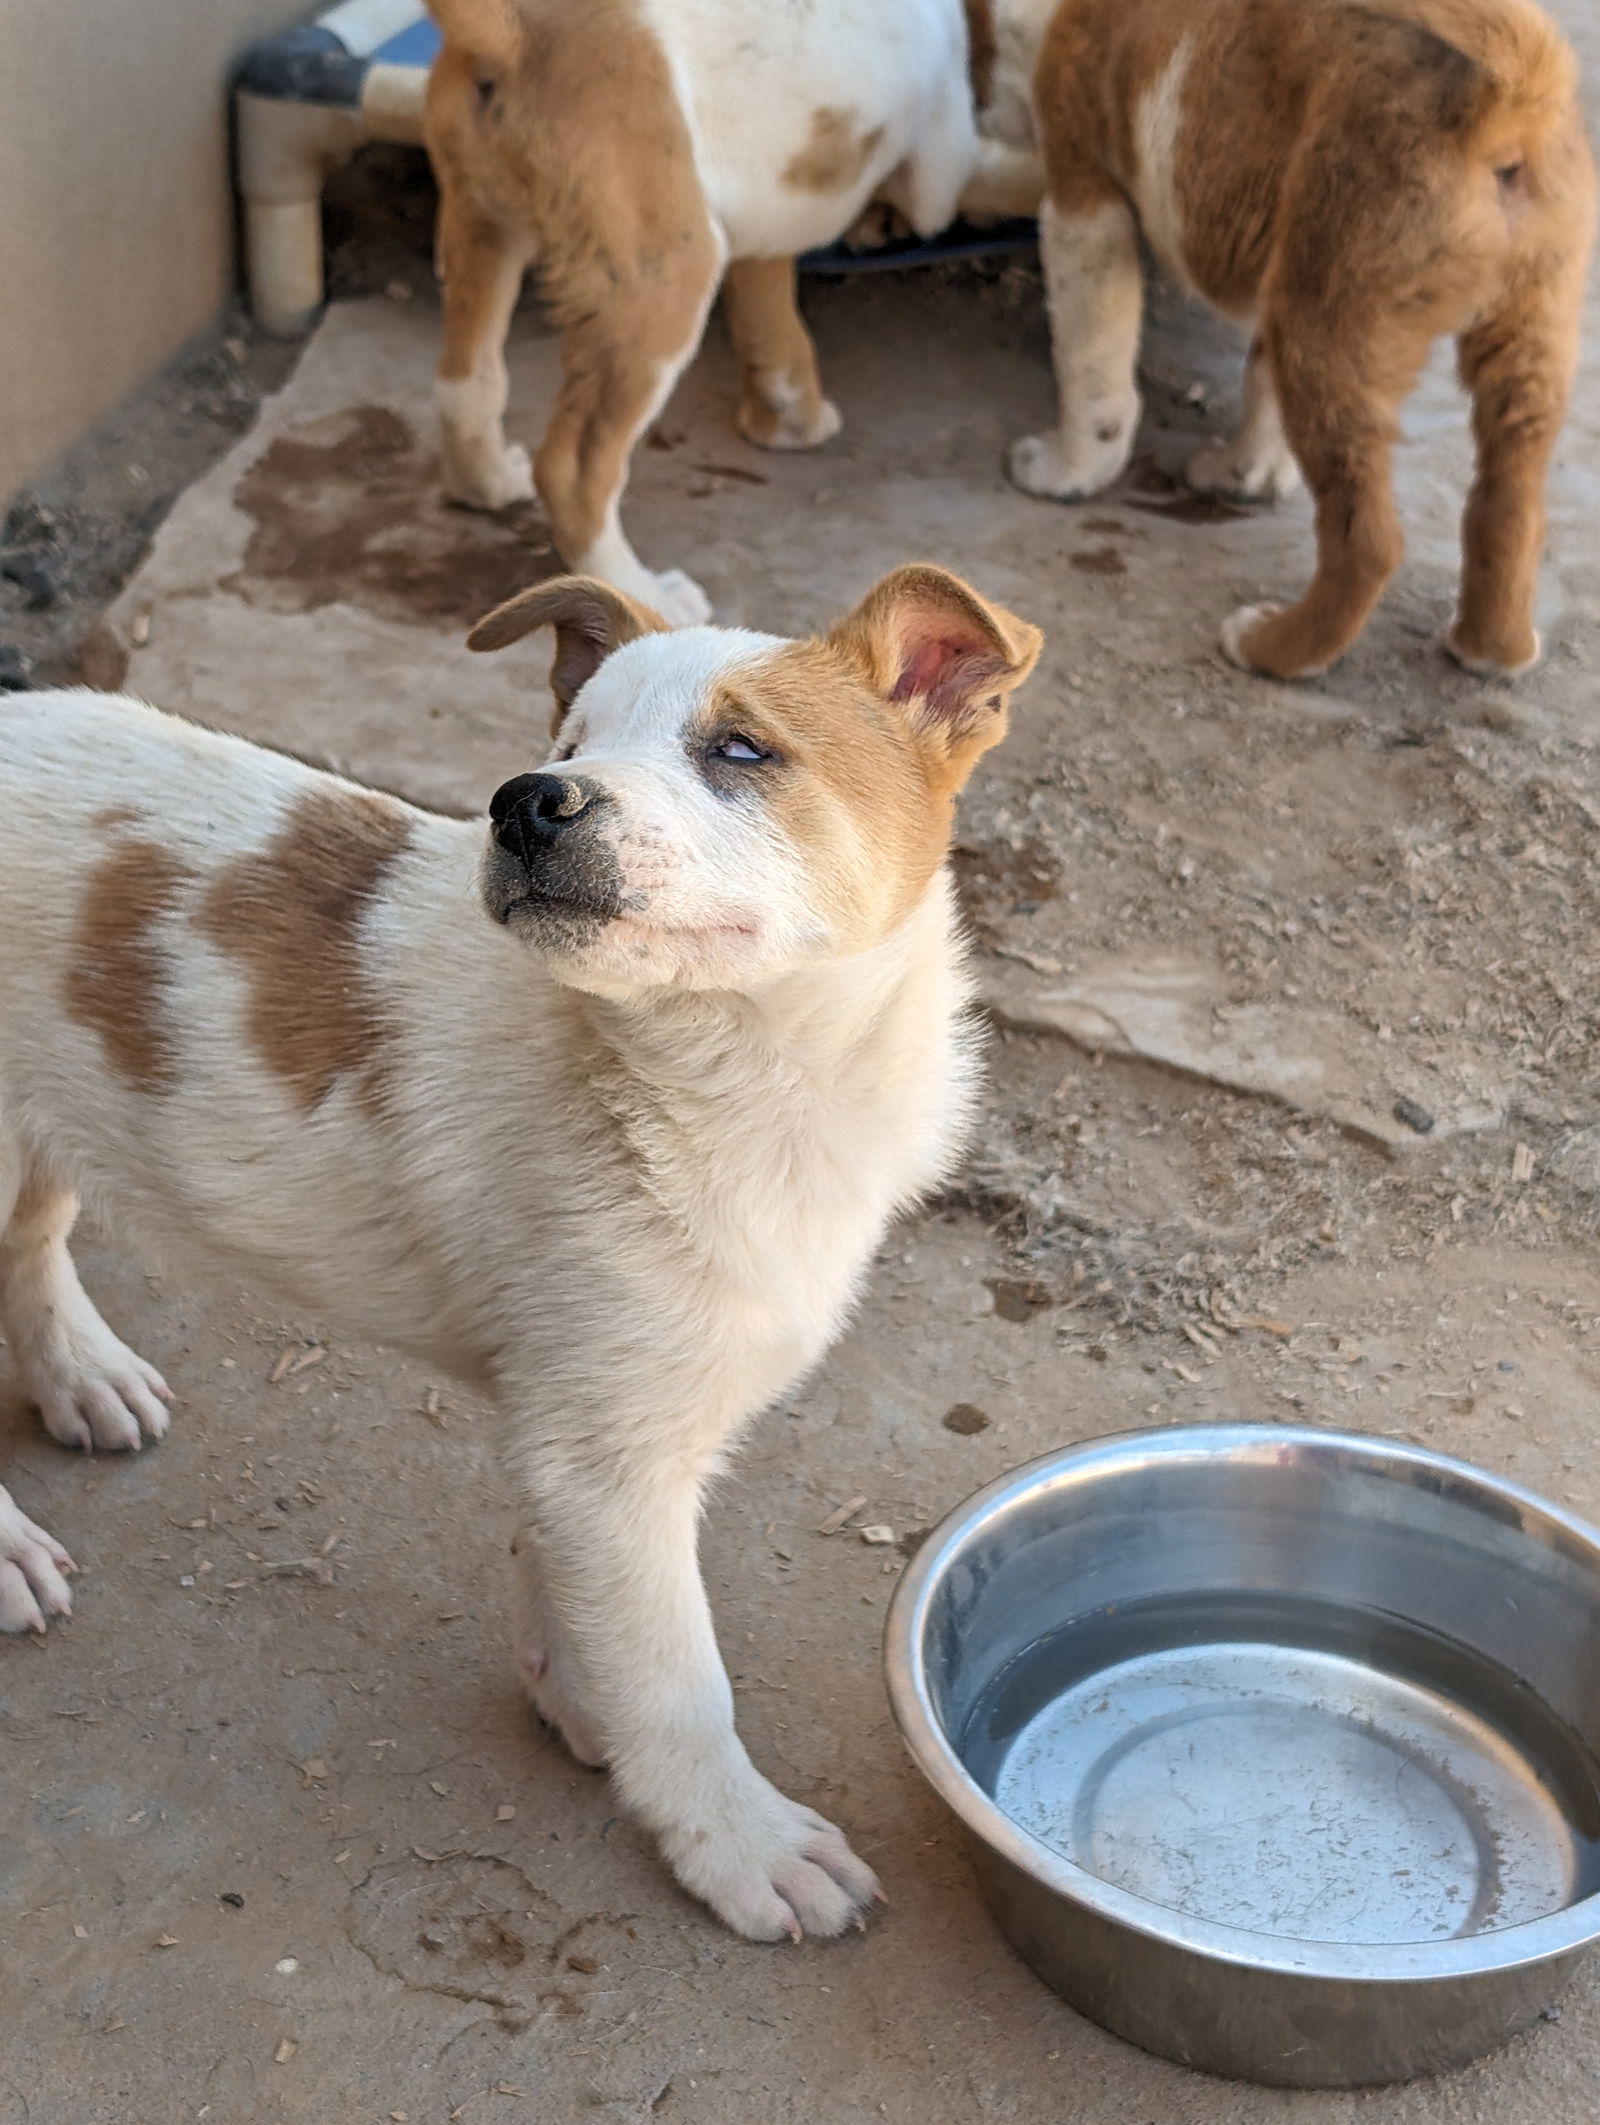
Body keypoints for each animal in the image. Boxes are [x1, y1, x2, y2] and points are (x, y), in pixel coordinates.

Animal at [0, 565, 1041, 1946]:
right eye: (570, 744)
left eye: (741, 750)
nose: (526, 800)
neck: (717, 1073)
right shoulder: (609, 1453)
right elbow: (679, 1676)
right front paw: (739, 1843)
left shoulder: (591, 1427)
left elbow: (576, 1593)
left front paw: (578, 1703)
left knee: (30, 1237)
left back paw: (81, 1375)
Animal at [418, 2, 1028, 620]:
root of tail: (517, 35)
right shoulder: (944, 171)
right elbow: (988, 186)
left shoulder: (769, 219)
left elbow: (773, 320)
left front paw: (791, 420)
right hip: (663, 278)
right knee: (574, 469)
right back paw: (638, 590)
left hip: (482, 226)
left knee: (466, 385)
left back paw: (486, 482)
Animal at [1002, 0, 1589, 680]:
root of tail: (1506, 103)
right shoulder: (1276, 265)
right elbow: (1261, 391)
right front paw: (1243, 476)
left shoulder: (1083, 195)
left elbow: (1090, 359)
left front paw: (1067, 473)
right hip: (1525, 338)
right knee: (1511, 507)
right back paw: (1493, 650)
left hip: (1329, 328)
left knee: (1367, 541)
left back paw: (1275, 647)